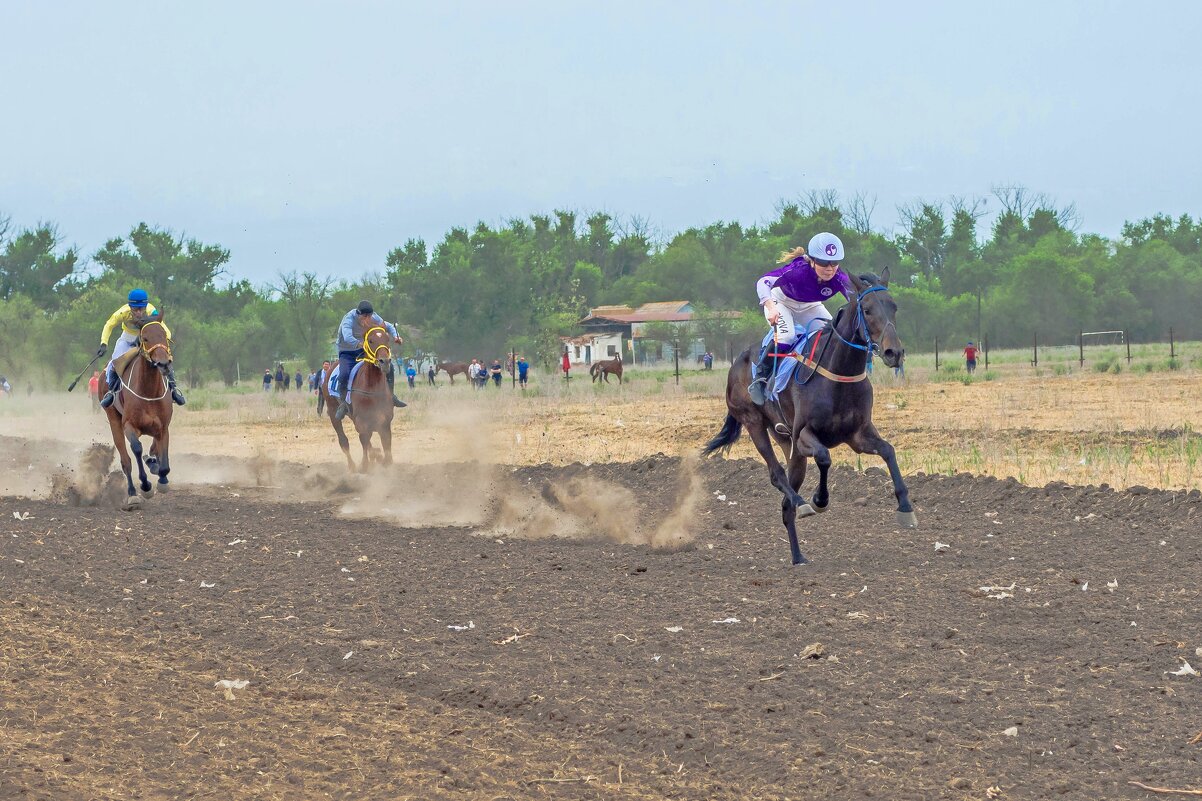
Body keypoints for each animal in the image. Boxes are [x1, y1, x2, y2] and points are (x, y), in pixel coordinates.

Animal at [103, 317, 174, 507]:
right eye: (146, 338)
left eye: (165, 336)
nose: (164, 364)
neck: (149, 392)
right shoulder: (129, 425)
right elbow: (136, 448)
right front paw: (146, 486)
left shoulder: (163, 427)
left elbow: (161, 455)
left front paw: (161, 478)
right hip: (114, 420)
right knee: (125, 460)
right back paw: (132, 493)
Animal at [701, 271, 913, 565]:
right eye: (868, 310)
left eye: (894, 306)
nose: (894, 353)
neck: (838, 374)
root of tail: (736, 364)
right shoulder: (804, 435)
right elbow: (824, 457)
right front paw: (819, 500)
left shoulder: (858, 434)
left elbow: (889, 451)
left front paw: (906, 507)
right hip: (754, 423)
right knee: (777, 475)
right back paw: (802, 503)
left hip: (787, 442)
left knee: (786, 502)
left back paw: (798, 556)